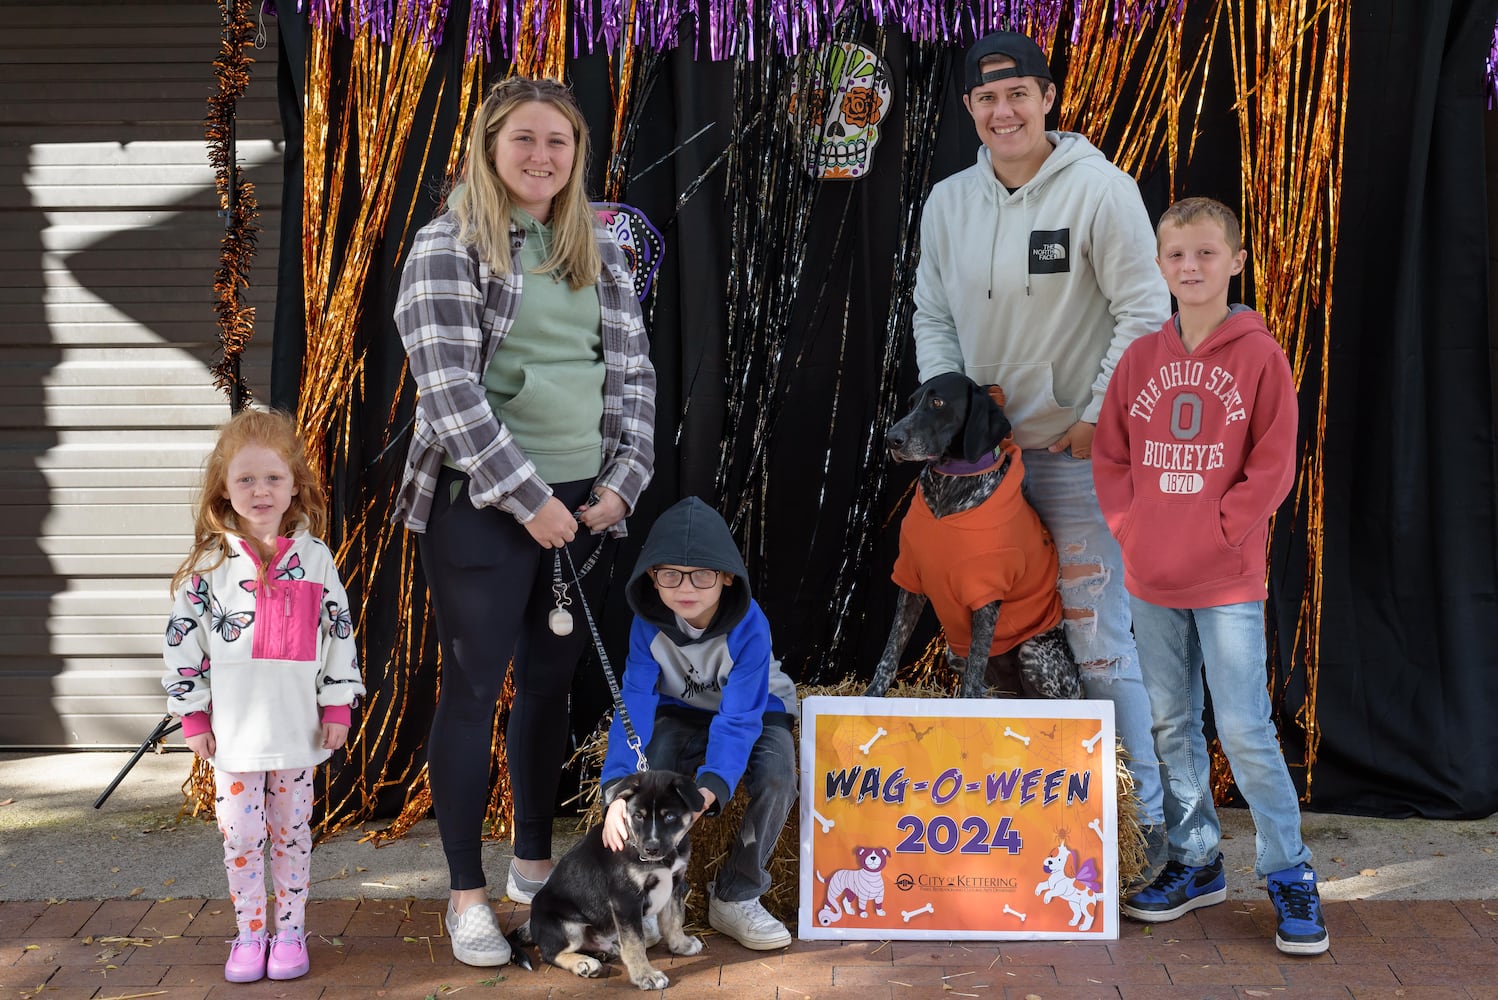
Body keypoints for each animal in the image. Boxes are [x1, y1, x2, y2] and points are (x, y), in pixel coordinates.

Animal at [512, 772, 704, 988]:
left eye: (670, 816)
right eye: (638, 816)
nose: (651, 849)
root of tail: (531, 925)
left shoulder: (674, 884)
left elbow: (674, 919)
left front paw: (682, 945)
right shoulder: (626, 899)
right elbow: (635, 943)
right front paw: (645, 976)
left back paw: (603, 953)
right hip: (565, 925)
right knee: (549, 953)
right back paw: (584, 963)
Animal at [862, 372, 1084, 703]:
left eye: (938, 403)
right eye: (911, 403)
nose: (892, 439)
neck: (949, 489)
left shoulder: (987, 591)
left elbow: (974, 676)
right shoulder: (910, 578)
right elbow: (890, 651)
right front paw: (870, 698)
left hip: (1035, 653)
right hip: (955, 653)